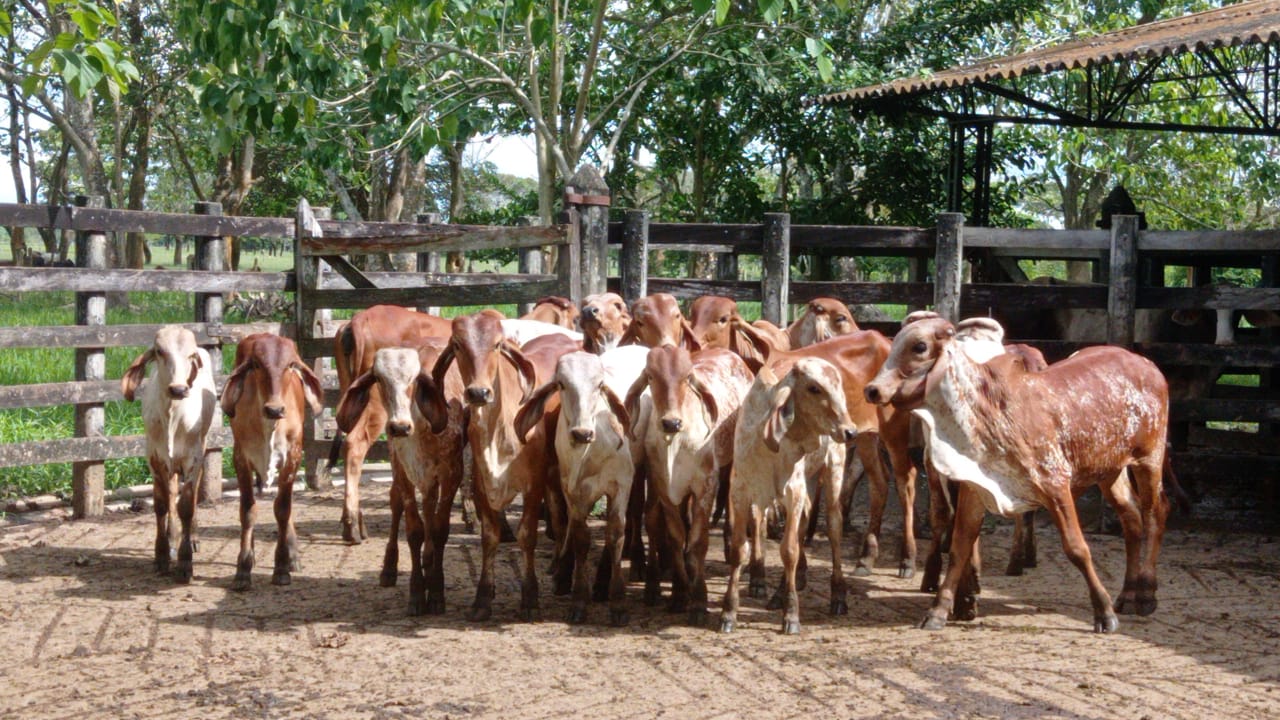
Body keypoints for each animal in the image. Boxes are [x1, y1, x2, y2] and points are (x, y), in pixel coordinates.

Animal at [121, 326, 218, 582]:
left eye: (191, 355)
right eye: (159, 352)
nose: (178, 389)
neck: (172, 415)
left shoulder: (193, 457)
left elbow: (186, 505)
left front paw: (185, 562)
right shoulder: (154, 458)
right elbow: (162, 504)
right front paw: (162, 555)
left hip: (202, 445)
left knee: (192, 493)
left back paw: (192, 537)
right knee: (172, 489)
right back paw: (173, 536)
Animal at [222, 333, 324, 590]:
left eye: (290, 365)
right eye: (257, 365)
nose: (275, 409)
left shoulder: (293, 458)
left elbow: (283, 509)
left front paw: (282, 567)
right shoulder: (241, 458)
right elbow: (248, 511)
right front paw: (243, 568)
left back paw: (293, 556)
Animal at [864, 316, 1172, 633]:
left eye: (920, 346)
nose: (872, 390)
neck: (988, 413)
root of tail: (1143, 362)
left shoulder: (1055, 484)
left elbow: (1077, 548)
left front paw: (1104, 613)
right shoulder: (976, 489)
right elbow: (960, 547)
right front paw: (938, 611)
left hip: (1149, 458)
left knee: (1155, 512)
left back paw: (1145, 594)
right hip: (1110, 471)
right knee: (1131, 517)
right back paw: (1127, 594)